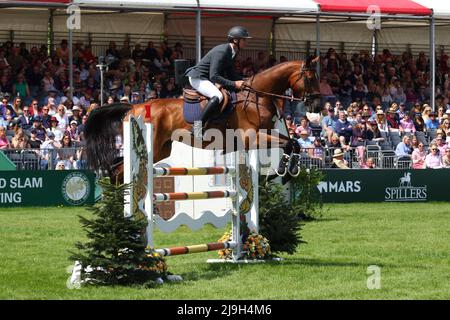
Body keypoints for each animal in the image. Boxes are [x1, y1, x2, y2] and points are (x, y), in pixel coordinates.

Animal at [84, 58, 322, 184]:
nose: (317, 105)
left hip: (161, 150)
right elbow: (291, 143)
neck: (258, 96)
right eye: (310, 78)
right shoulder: (251, 137)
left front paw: (283, 172)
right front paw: (283, 171)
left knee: (116, 167)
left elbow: (293, 143)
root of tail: (134, 107)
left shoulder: (265, 134)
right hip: (150, 146)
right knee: (120, 169)